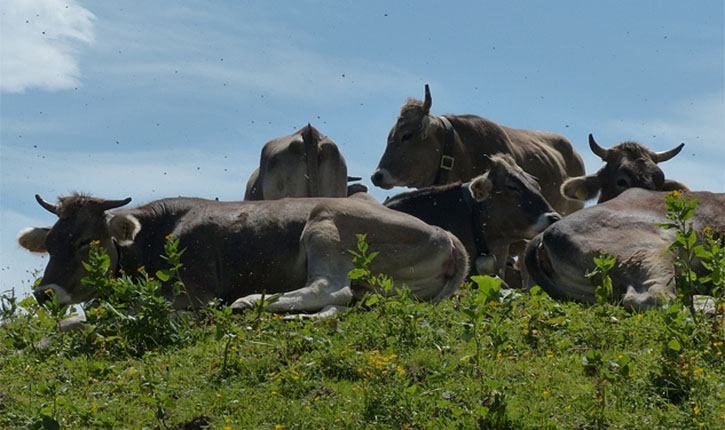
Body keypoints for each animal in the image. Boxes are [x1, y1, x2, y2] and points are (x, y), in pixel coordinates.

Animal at [18, 193, 468, 318]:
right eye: (51, 243)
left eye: (85, 242)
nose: (44, 293)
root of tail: (448, 235)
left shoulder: (194, 292)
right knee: (341, 300)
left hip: (325, 223)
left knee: (329, 288)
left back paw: (250, 301)